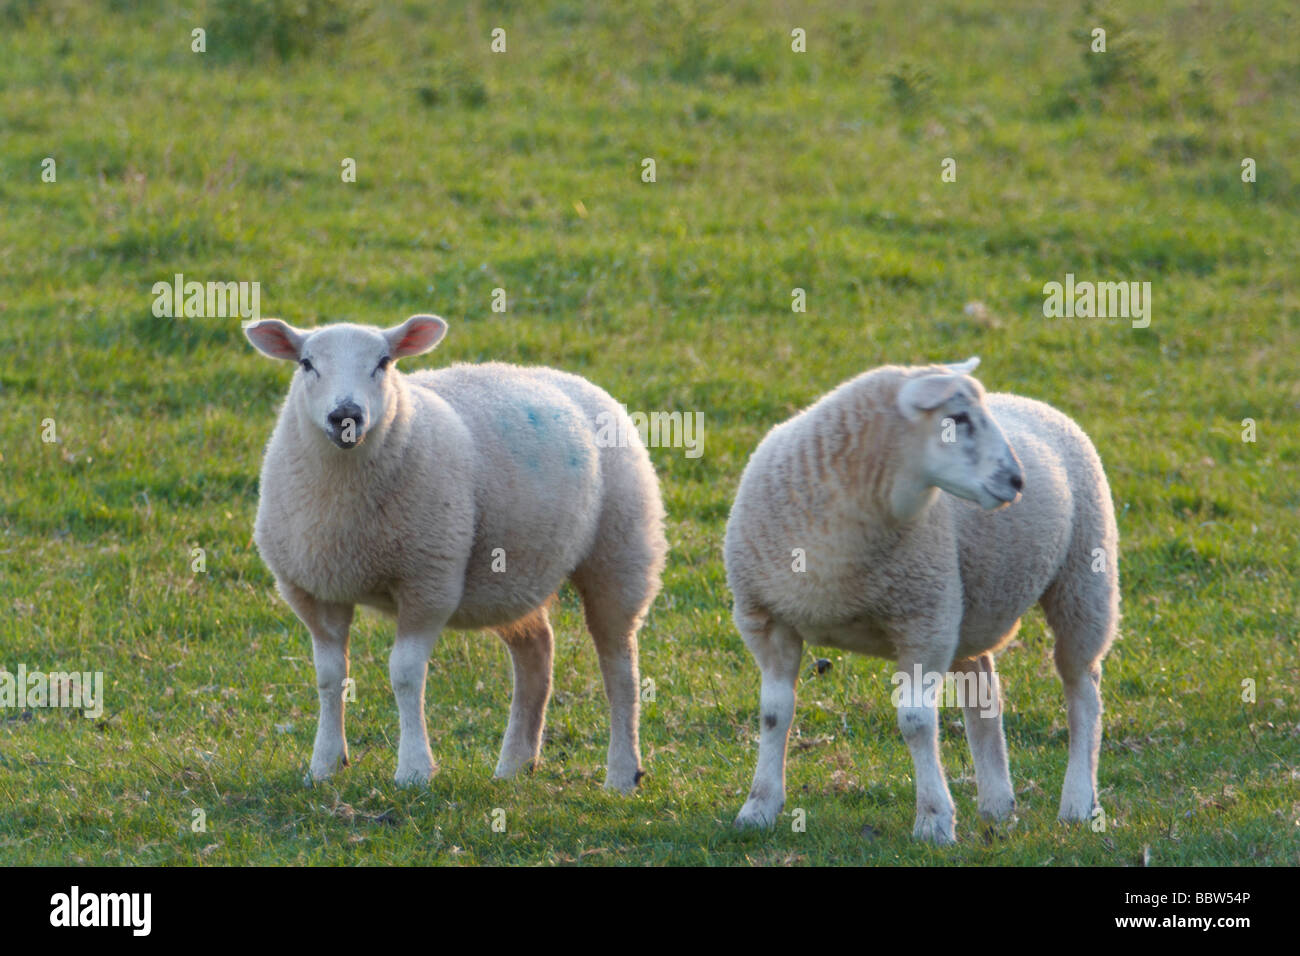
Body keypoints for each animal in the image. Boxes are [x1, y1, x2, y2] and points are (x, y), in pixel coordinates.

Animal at [245, 317, 670, 790]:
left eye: (384, 362)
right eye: (306, 363)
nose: (345, 416)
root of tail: (575, 380)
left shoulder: (429, 581)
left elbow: (405, 675)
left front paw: (413, 770)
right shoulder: (313, 590)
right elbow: (329, 677)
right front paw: (324, 765)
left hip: (621, 552)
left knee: (620, 669)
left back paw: (622, 773)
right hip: (511, 576)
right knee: (537, 653)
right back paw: (515, 765)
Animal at [728, 358, 1123, 842]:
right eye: (957, 418)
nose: (1017, 480)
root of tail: (1031, 401)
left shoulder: (924, 622)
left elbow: (916, 723)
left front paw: (934, 820)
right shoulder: (767, 618)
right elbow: (773, 713)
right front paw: (758, 808)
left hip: (1084, 579)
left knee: (1082, 690)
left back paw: (1078, 801)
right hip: (971, 603)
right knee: (983, 691)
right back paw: (997, 803)